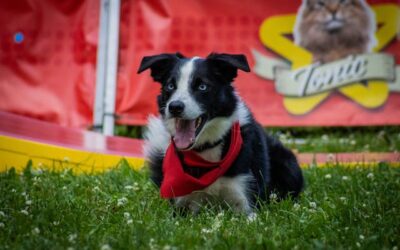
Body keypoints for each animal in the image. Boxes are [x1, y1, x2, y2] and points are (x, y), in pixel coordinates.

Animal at [138, 52, 304, 217]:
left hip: (287, 163)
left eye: (202, 86)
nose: (175, 107)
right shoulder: (182, 206)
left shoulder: (246, 203)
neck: (206, 151)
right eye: (170, 86)